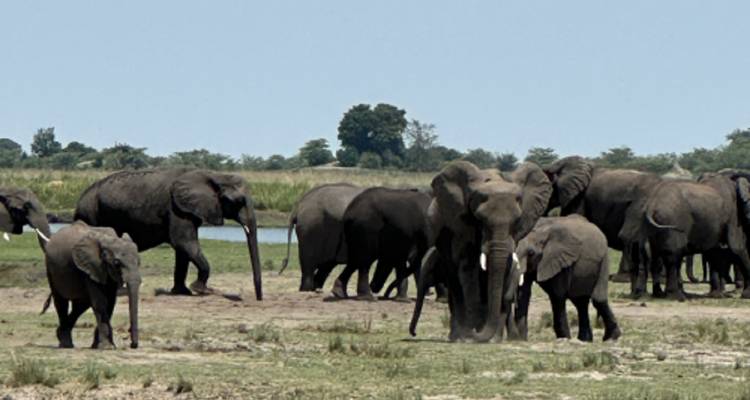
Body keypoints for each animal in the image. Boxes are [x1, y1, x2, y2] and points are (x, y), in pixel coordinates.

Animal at [74, 168, 261, 299]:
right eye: (237, 201)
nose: (259, 298)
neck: (215, 175)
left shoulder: (186, 210)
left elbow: (183, 250)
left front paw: (182, 292)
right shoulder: (176, 209)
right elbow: (184, 242)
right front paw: (201, 290)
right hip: (91, 214)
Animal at [424, 161, 551, 342]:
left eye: (516, 221)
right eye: (479, 220)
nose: (474, 333)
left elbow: (505, 269)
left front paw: (492, 339)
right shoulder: (463, 227)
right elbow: (469, 272)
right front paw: (469, 335)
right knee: (455, 282)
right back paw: (458, 335)